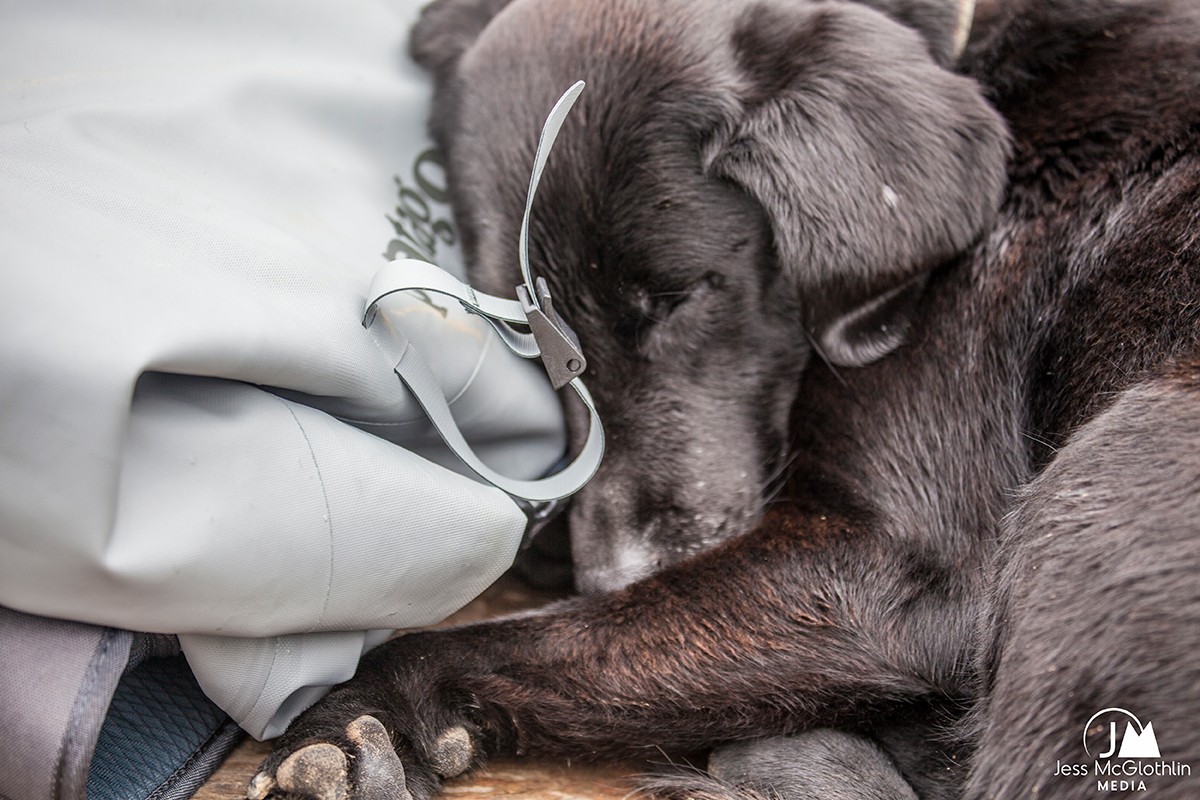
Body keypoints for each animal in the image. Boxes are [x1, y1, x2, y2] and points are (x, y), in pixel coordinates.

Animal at [250, 0, 1200, 796]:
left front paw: (354, 713)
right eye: (531, 337)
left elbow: (536, 636)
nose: (616, 573)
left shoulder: (887, 563)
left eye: (676, 299)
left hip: (1107, 472)